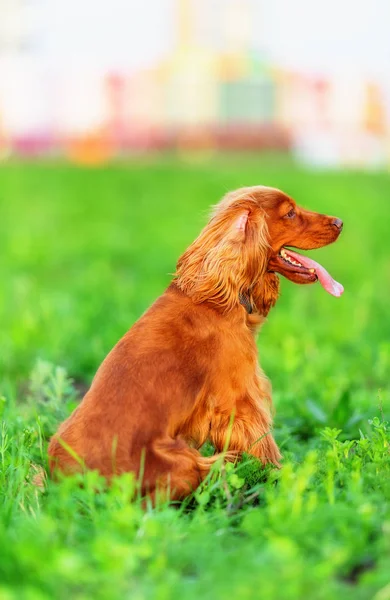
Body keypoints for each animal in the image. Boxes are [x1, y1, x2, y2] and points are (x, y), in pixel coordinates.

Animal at [47, 188, 342, 502]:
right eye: (290, 213)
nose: (340, 222)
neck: (218, 294)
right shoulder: (240, 401)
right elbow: (262, 447)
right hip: (180, 463)